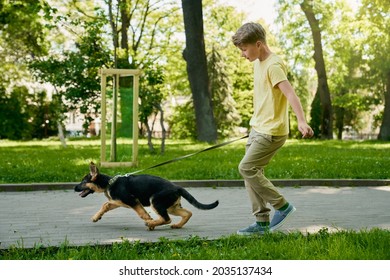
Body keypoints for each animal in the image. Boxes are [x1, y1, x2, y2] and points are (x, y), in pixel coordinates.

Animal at [74, 162, 219, 230]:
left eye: (83, 182)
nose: (74, 187)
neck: (109, 183)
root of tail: (178, 187)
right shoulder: (119, 201)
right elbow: (106, 205)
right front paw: (96, 217)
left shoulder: (130, 200)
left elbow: (139, 211)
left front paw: (147, 217)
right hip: (171, 206)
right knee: (187, 213)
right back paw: (177, 225)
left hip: (156, 201)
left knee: (167, 219)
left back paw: (151, 223)